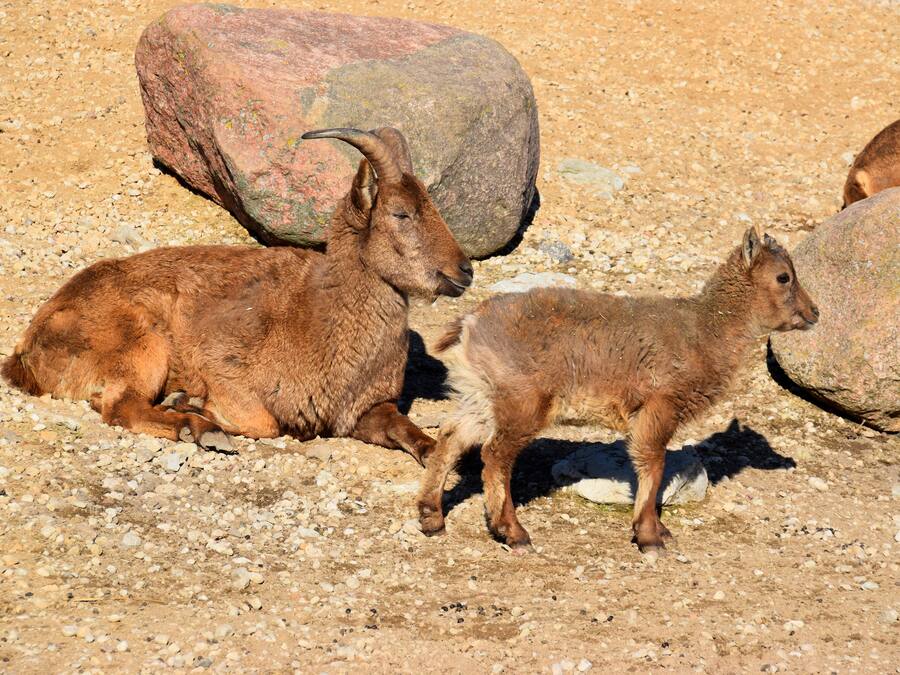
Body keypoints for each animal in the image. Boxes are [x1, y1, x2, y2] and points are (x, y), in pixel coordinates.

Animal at [2, 127, 473, 463]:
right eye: (401, 213)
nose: (464, 270)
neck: (323, 315)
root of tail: (28, 348)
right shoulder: (226, 368)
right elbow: (264, 423)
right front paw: (199, 407)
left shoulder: (369, 408)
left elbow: (409, 431)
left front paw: (439, 456)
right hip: (141, 344)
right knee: (119, 406)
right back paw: (196, 424)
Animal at [418, 227, 818, 553]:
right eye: (783, 277)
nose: (814, 312)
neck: (705, 333)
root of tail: (470, 323)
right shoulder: (659, 407)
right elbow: (652, 464)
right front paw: (650, 537)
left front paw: (658, 531)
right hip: (521, 403)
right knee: (495, 455)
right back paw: (512, 532)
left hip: (480, 397)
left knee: (452, 437)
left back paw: (430, 516)